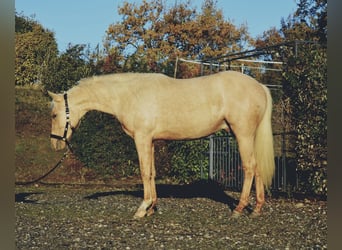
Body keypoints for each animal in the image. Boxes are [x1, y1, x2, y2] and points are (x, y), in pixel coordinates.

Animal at [48, 70, 274, 217]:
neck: (129, 95)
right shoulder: (150, 141)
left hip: (243, 134)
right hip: (248, 137)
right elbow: (152, 172)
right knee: (258, 168)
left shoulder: (141, 138)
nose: (55, 144)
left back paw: (239, 209)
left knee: (249, 167)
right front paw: (152, 208)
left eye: (54, 114)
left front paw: (142, 209)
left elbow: (144, 171)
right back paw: (256, 209)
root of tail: (260, 87)